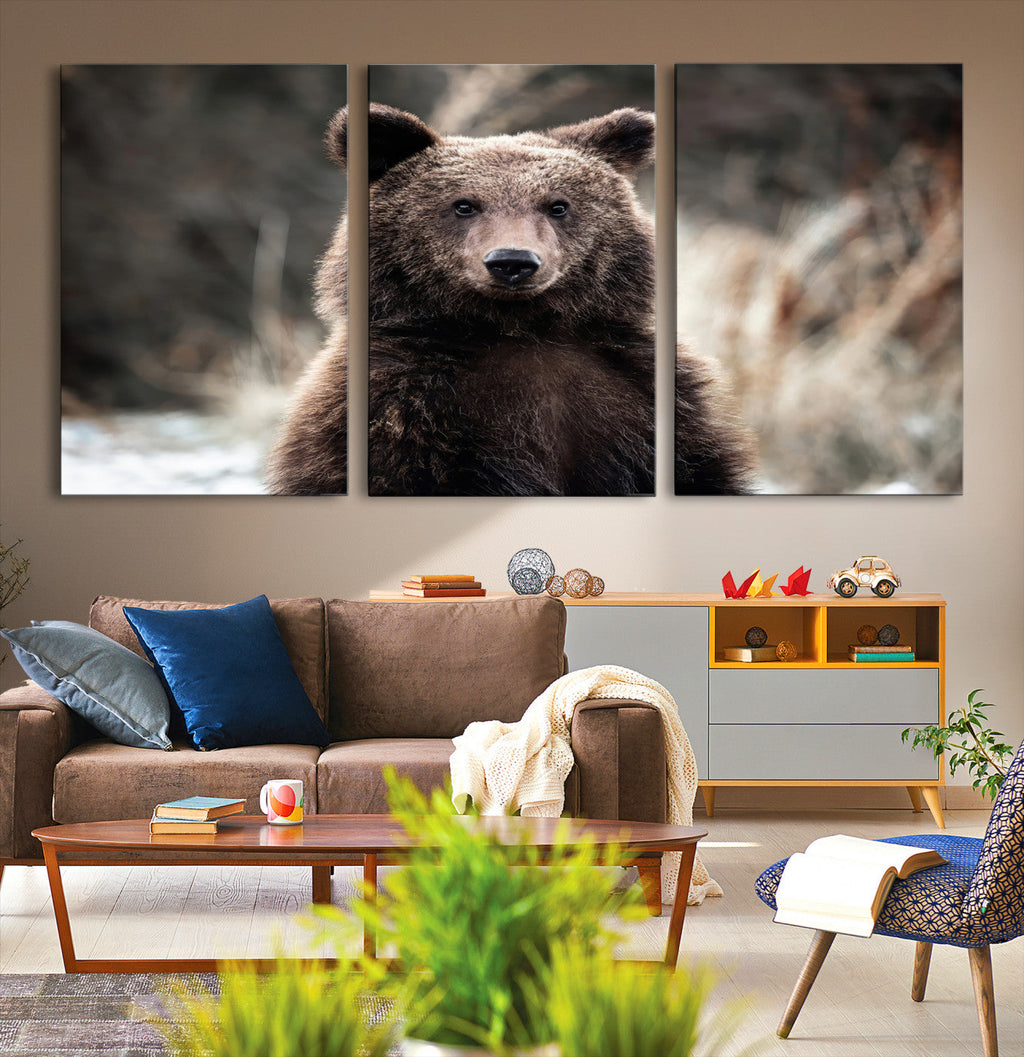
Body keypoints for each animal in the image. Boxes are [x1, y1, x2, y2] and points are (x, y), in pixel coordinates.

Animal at [266, 103, 754, 496]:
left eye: (558, 205)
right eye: (464, 204)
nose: (513, 261)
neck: (518, 328)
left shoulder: (645, 398)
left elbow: (699, 471)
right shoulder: (398, 409)